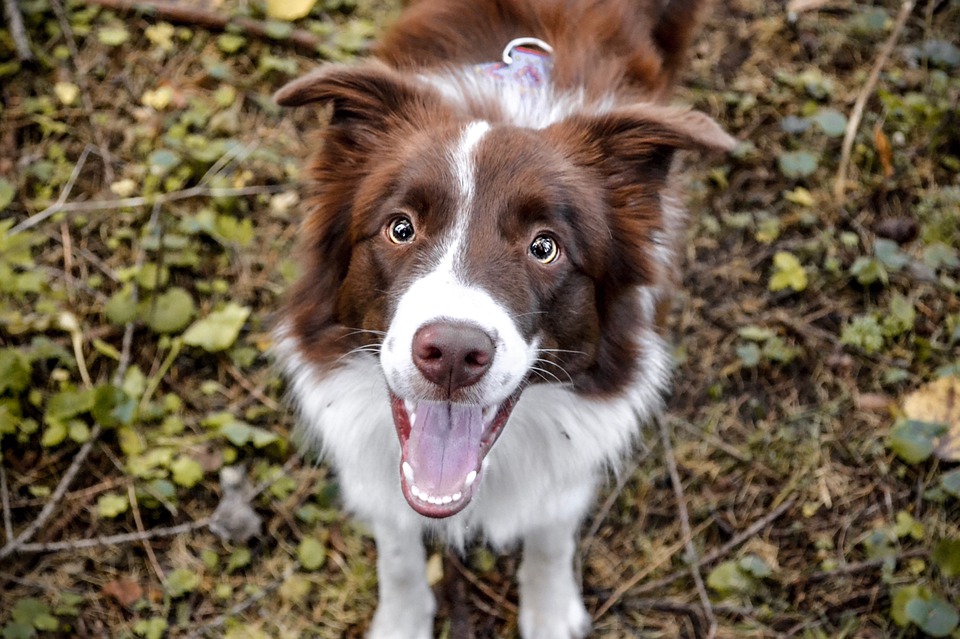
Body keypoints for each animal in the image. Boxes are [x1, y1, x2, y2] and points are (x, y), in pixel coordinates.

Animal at [274, 2, 732, 636]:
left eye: (545, 247)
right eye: (400, 227)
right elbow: (398, 545)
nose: (452, 353)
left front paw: (550, 608)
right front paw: (402, 619)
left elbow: (552, 525)